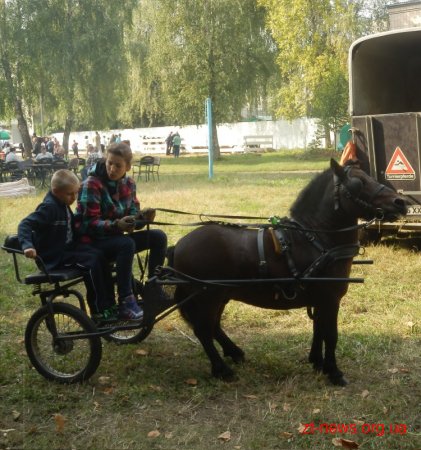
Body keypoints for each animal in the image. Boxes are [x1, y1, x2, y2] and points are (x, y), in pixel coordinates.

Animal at [171, 160, 406, 384]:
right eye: (359, 183)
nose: (400, 202)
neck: (316, 239)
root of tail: (178, 246)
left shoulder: (320, 299)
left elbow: (318, 329)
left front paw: (317, 362)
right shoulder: (330, 299)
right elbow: (331, 335)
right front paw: (334, 372)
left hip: (220, 295)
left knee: (213, 327)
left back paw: (234, 353)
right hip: (206, 296)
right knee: (203, 330)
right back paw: (222, 369)